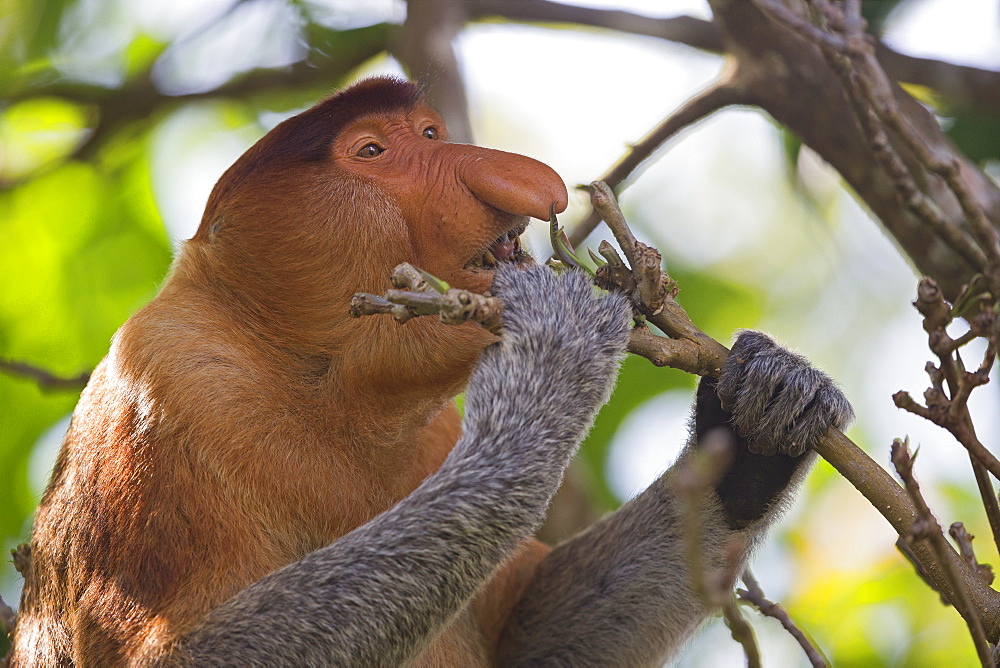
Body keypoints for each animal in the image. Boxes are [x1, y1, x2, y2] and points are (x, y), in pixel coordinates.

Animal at [9, 77, 852, 664]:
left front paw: (762, 415)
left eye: (429, 132)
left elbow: (527, 639)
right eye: (372, 152)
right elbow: (187, 655)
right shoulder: (171, 389)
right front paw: (553, 361)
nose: (529, 183)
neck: (317, 384)